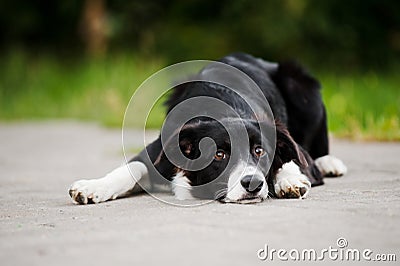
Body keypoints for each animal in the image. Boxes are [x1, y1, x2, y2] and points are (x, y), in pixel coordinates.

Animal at [69, 53, 346, 205]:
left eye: (259, 151)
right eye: (219, 155)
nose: (253, 184)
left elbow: (290, 158)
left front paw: (290, 179)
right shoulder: (157, 150)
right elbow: (131, 168)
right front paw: (93, 187)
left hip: (301, 86)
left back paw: (328, 162)